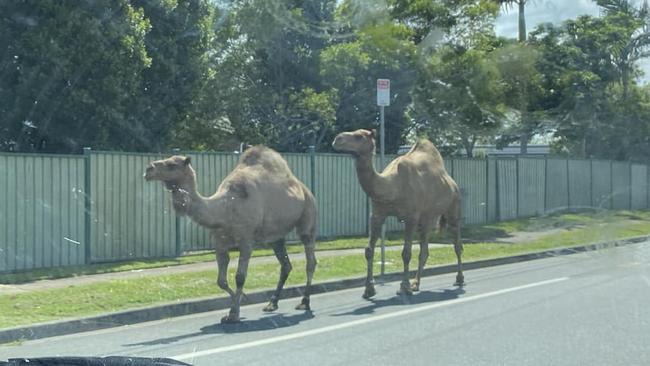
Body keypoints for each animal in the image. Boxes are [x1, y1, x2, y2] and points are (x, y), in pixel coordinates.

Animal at [144, 146, 316, 324]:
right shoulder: (219, 243)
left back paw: (304, 302)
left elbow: (240, 277)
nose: (148, 169)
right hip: (276, 236)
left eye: (172, 165)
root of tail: (303, 188)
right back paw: (271, 304)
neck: (224, 208)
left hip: (308, 215)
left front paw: (234, 313)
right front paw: (239, 302)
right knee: (285, 264)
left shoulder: (247, 241)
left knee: (310, 260)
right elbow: (221, 281)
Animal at [332, 129, 464, 298]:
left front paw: (404, 287)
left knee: (457, 244)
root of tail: (452, 183)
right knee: (424, 250)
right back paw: (416, 284)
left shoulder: (411, 217)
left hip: (453, 207)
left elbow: (406, 253)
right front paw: (369, 289)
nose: (337, 139)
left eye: (359, 136)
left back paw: (459, 279)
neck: (391, 187)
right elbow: (369, 251)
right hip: (427, 218)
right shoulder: (377, 215)